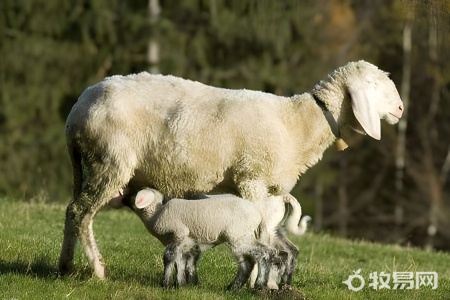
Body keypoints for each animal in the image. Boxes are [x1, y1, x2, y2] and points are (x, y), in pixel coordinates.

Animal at [58, 60, 402, 278]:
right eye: (374, 85)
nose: (400, 109)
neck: (297, 123)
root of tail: (77, 110)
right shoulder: (252, 177)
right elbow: (259, 233)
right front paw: (258, 283)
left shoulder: (269, 190)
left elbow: (265, 233)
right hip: (110, 160)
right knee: (81, 212)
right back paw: (98, 271)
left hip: (89, 164)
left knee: (71, 210)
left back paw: (65, 267)